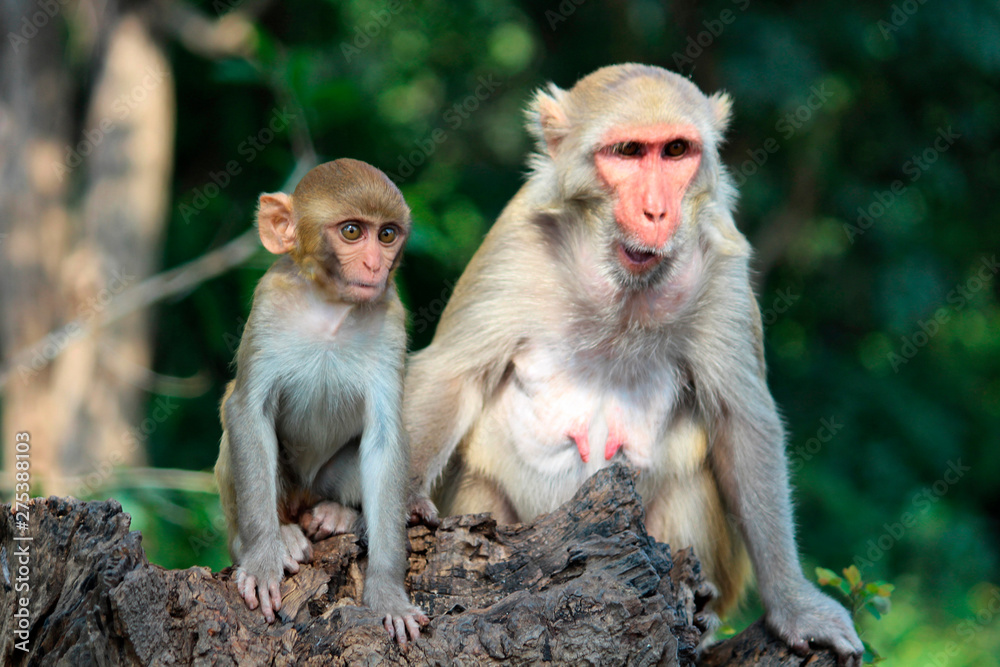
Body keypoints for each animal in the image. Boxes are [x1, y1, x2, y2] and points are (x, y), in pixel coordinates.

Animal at [214, 159, 428, 647]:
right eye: (352, 231)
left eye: (387, 235)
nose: (374, 264)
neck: (331, 307)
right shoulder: (268, 303)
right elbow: (246, 412)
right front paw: (261, 557)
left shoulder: (393, 319)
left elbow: (386, 441)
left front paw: (388, 593)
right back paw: (281, 536)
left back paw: (342, 514)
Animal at [404, 64, 864, 664]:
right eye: (627, 152)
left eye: (675, 151)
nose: (656, 210)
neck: (622, 286)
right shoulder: (517, 241)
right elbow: (452, 374)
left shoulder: (722, 260)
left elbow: (743, 420)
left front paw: (794, 604)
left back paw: (703, 614)